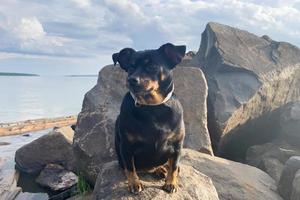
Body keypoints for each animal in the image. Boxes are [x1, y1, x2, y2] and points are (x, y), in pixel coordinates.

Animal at [114, 43, 186, 194]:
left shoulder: (177, 145)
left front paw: (171, 183)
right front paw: (134, 183)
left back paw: (162, 169)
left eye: (152, 66)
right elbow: (130, 167)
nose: (131, 79)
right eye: (130, 68)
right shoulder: (126, 146)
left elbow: (174, 166)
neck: (152, 107)